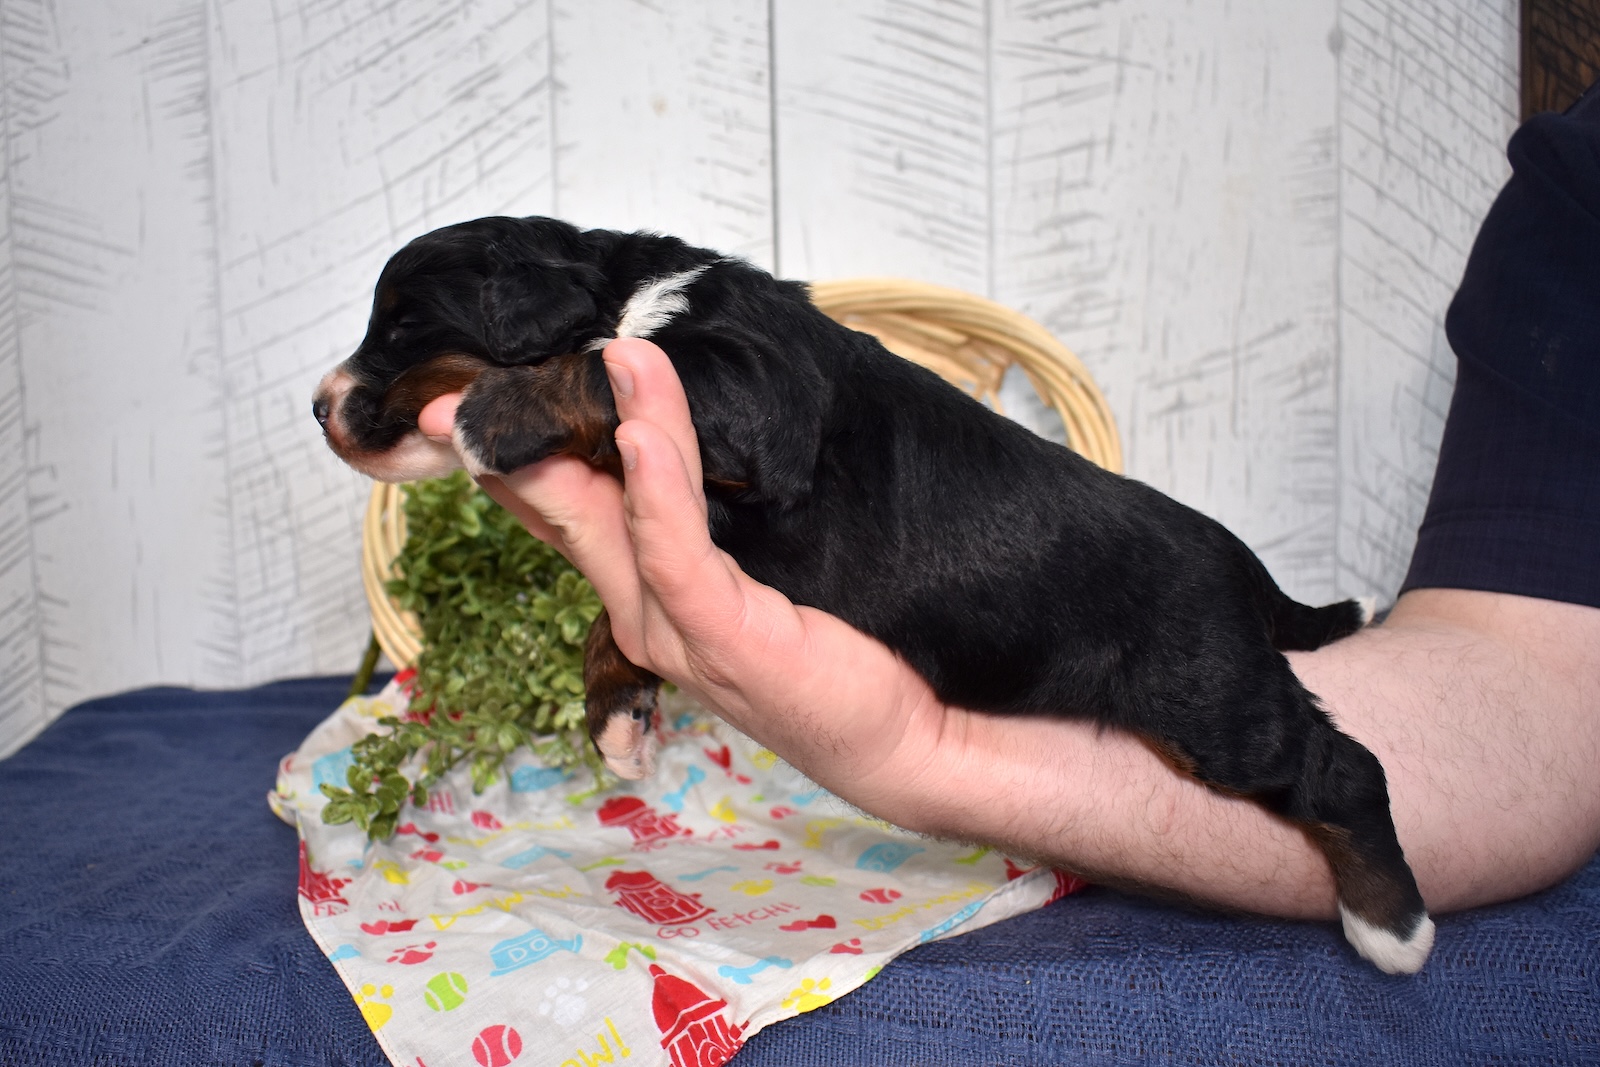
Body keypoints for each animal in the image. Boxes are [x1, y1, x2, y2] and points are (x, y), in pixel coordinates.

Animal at [314, 215, 1434, 974]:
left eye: (401, 326)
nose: (318, 405)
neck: (632, 288)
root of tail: (1240, 565)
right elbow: (607, 616)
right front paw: (619, 712)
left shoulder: (754, 395)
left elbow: (605, 364)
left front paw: (498, 410)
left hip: (1211, 697)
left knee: (1345, 767)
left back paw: (1393, 927)